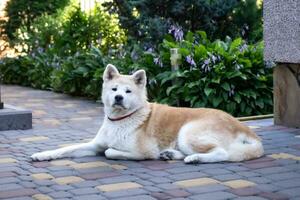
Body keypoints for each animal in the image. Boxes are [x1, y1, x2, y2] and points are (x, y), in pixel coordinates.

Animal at [31, 64, 264, 164]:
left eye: (128, 92)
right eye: (114, 89)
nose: (118, 98)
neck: (121, 120)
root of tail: (242, 126)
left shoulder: (142, 150)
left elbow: (110, 152)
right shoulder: (94, 145)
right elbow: (66, 149)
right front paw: (42, 154)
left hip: (188, 133)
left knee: (222, 154)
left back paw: (195, 158)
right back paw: (171, 154)